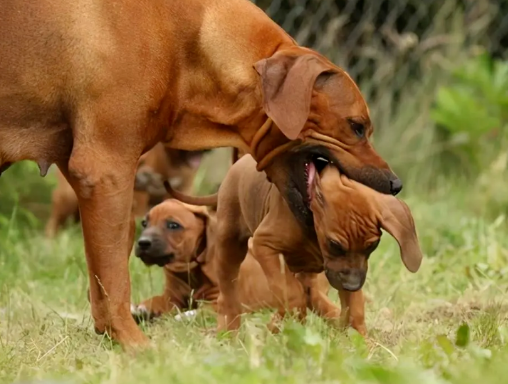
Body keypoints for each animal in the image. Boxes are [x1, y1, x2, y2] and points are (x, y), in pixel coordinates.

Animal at [131, 201, 338, 330]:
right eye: (145, 223)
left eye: (173, 225)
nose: (142, 243)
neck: (191, 271)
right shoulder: (172, 297)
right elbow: (155, 300)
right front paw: (139, 308)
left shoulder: (219, 300)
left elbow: (202, 310)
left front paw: (183, 316)